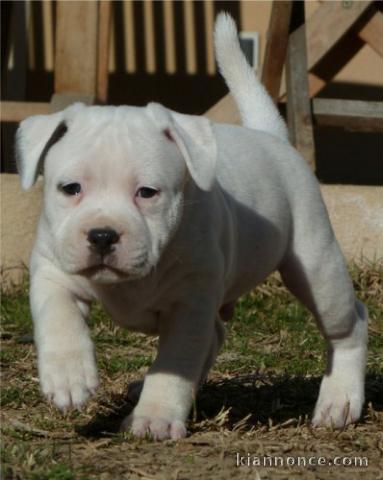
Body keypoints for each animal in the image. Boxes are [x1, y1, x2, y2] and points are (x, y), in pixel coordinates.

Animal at [16, 13, 368, 440]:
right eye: (70, 188)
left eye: (147, 192)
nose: (102, 235)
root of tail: (270, 137)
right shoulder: (52, 268)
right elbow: (58, 316)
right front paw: (68, 377)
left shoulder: (189, 307)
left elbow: (174, 365)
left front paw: (155, 417)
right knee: (215, 336)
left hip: (317, 268)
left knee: (350, 325)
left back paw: (340, 400)